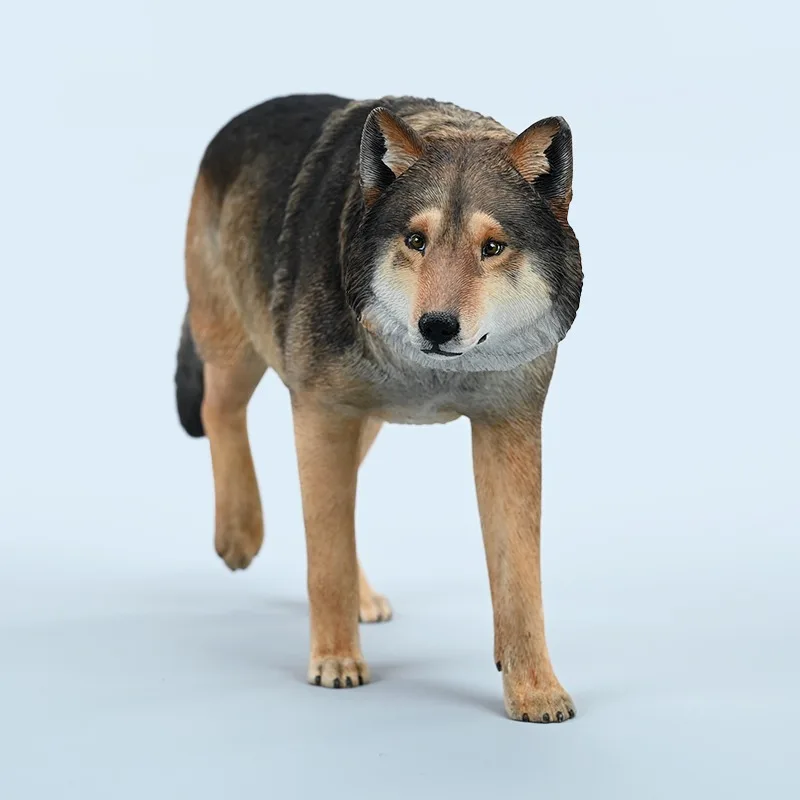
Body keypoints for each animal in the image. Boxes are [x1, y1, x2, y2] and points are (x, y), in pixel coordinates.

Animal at [175, 94, 583, 722]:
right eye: (416, 241)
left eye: (492, 248)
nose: (437, 326)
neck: (430, 373)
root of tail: (241, 119)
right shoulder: (321, 412)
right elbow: (327, 559)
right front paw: (336, 661)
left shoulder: (508, 427)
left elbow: (519, 581)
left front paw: (535, 691)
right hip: (243, 350)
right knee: (221, 412)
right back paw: (239, 533)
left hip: (361, 421)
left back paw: (362, 596)